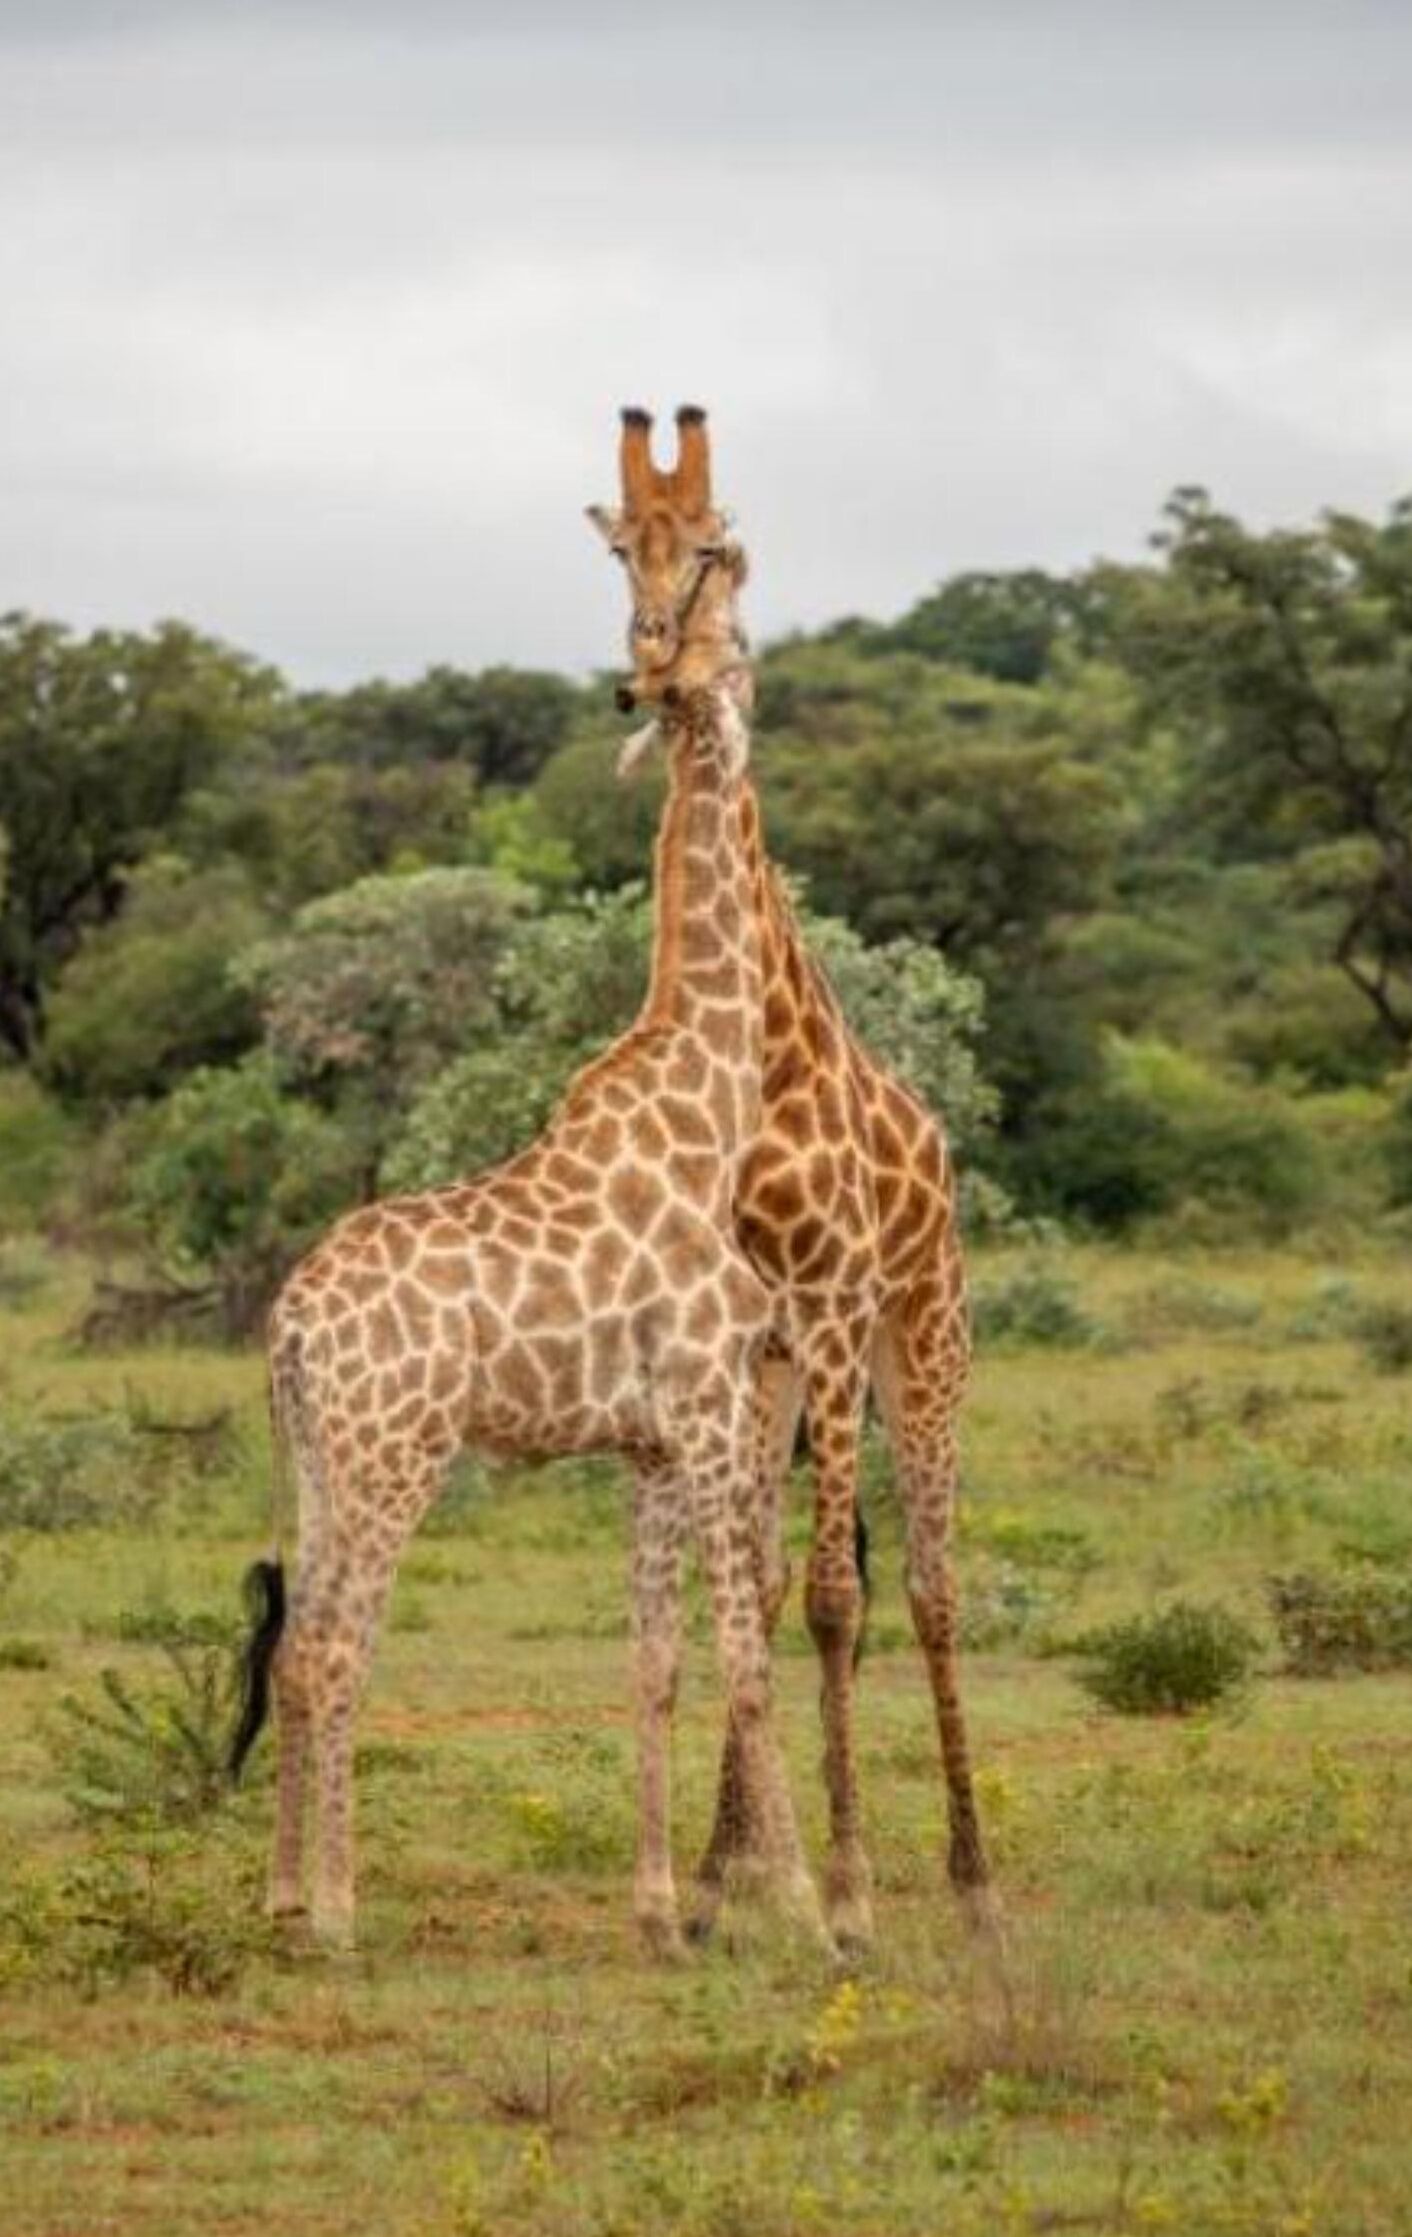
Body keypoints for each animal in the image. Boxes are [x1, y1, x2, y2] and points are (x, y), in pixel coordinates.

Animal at [230, 416, 824, 1960]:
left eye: (708, 553)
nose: (660, 669)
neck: (703, 1096)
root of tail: (289, 1326)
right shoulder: (714, 1415)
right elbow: (746, 1659)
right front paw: (811, 1916)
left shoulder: (653, 1446)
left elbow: (654, 1662)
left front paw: (663, 1912)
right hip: (398, 1452)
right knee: (332, 1649)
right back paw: (336, 1913)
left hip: (323, 1458)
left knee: (296, 1640)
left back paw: (282, 1892)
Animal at [589, 406, 990, 1950]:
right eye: (620, 548)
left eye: (715, 547)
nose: (651, 666)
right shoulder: (742, 1341)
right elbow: (752, 1591)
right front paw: (731, 1879)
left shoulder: (825, 1310)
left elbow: (830, 1598)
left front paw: (853, 1892)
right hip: (782, 1373)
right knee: (778, 1577)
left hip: (921, 1340)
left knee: (926, 1583)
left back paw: (971, 1878)